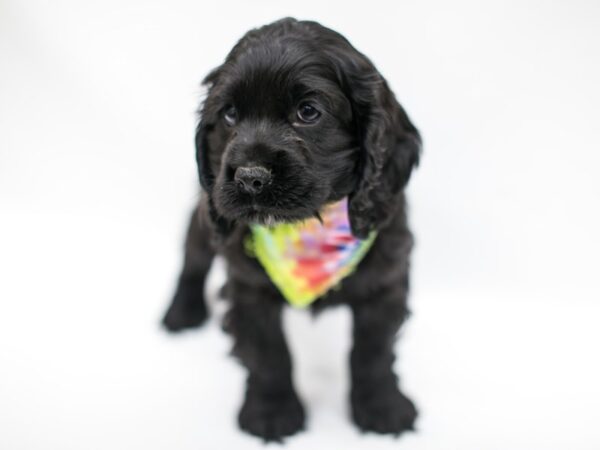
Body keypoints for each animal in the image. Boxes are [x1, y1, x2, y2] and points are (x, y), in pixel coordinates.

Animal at [162, 18, 420, 442]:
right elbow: (270, 354)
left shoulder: (386, 280)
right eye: (229, 115)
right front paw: (272, 412)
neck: (309, 230)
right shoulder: (247, 287)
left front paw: (383, 407)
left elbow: (373, 351)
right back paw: (182, 311)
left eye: (308, 112)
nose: (249, 178)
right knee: (193, 259)